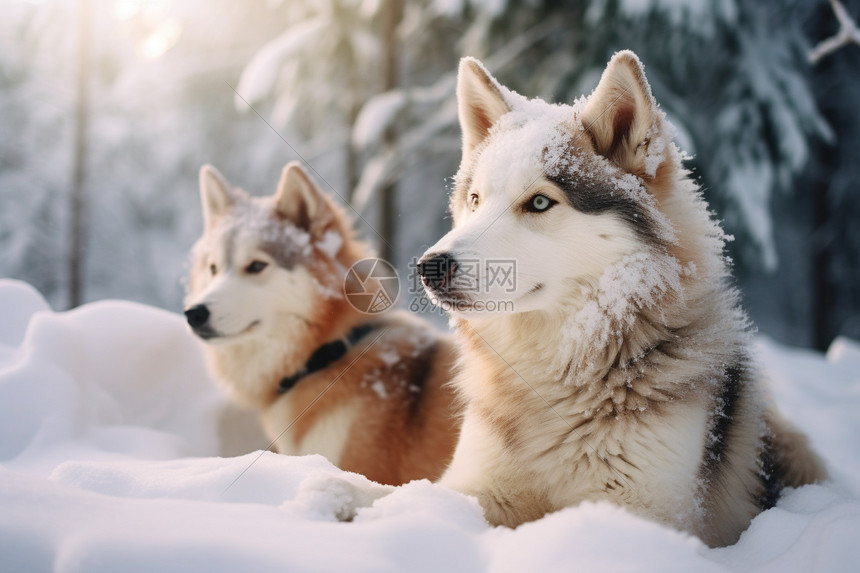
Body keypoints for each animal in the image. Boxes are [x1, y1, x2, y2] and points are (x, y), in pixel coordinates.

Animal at [416, 50, 828, 544]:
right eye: (476, 200)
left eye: (539, 203)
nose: (429, 266)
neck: (553, 379)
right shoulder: (470, 487)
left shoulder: (635, 512)